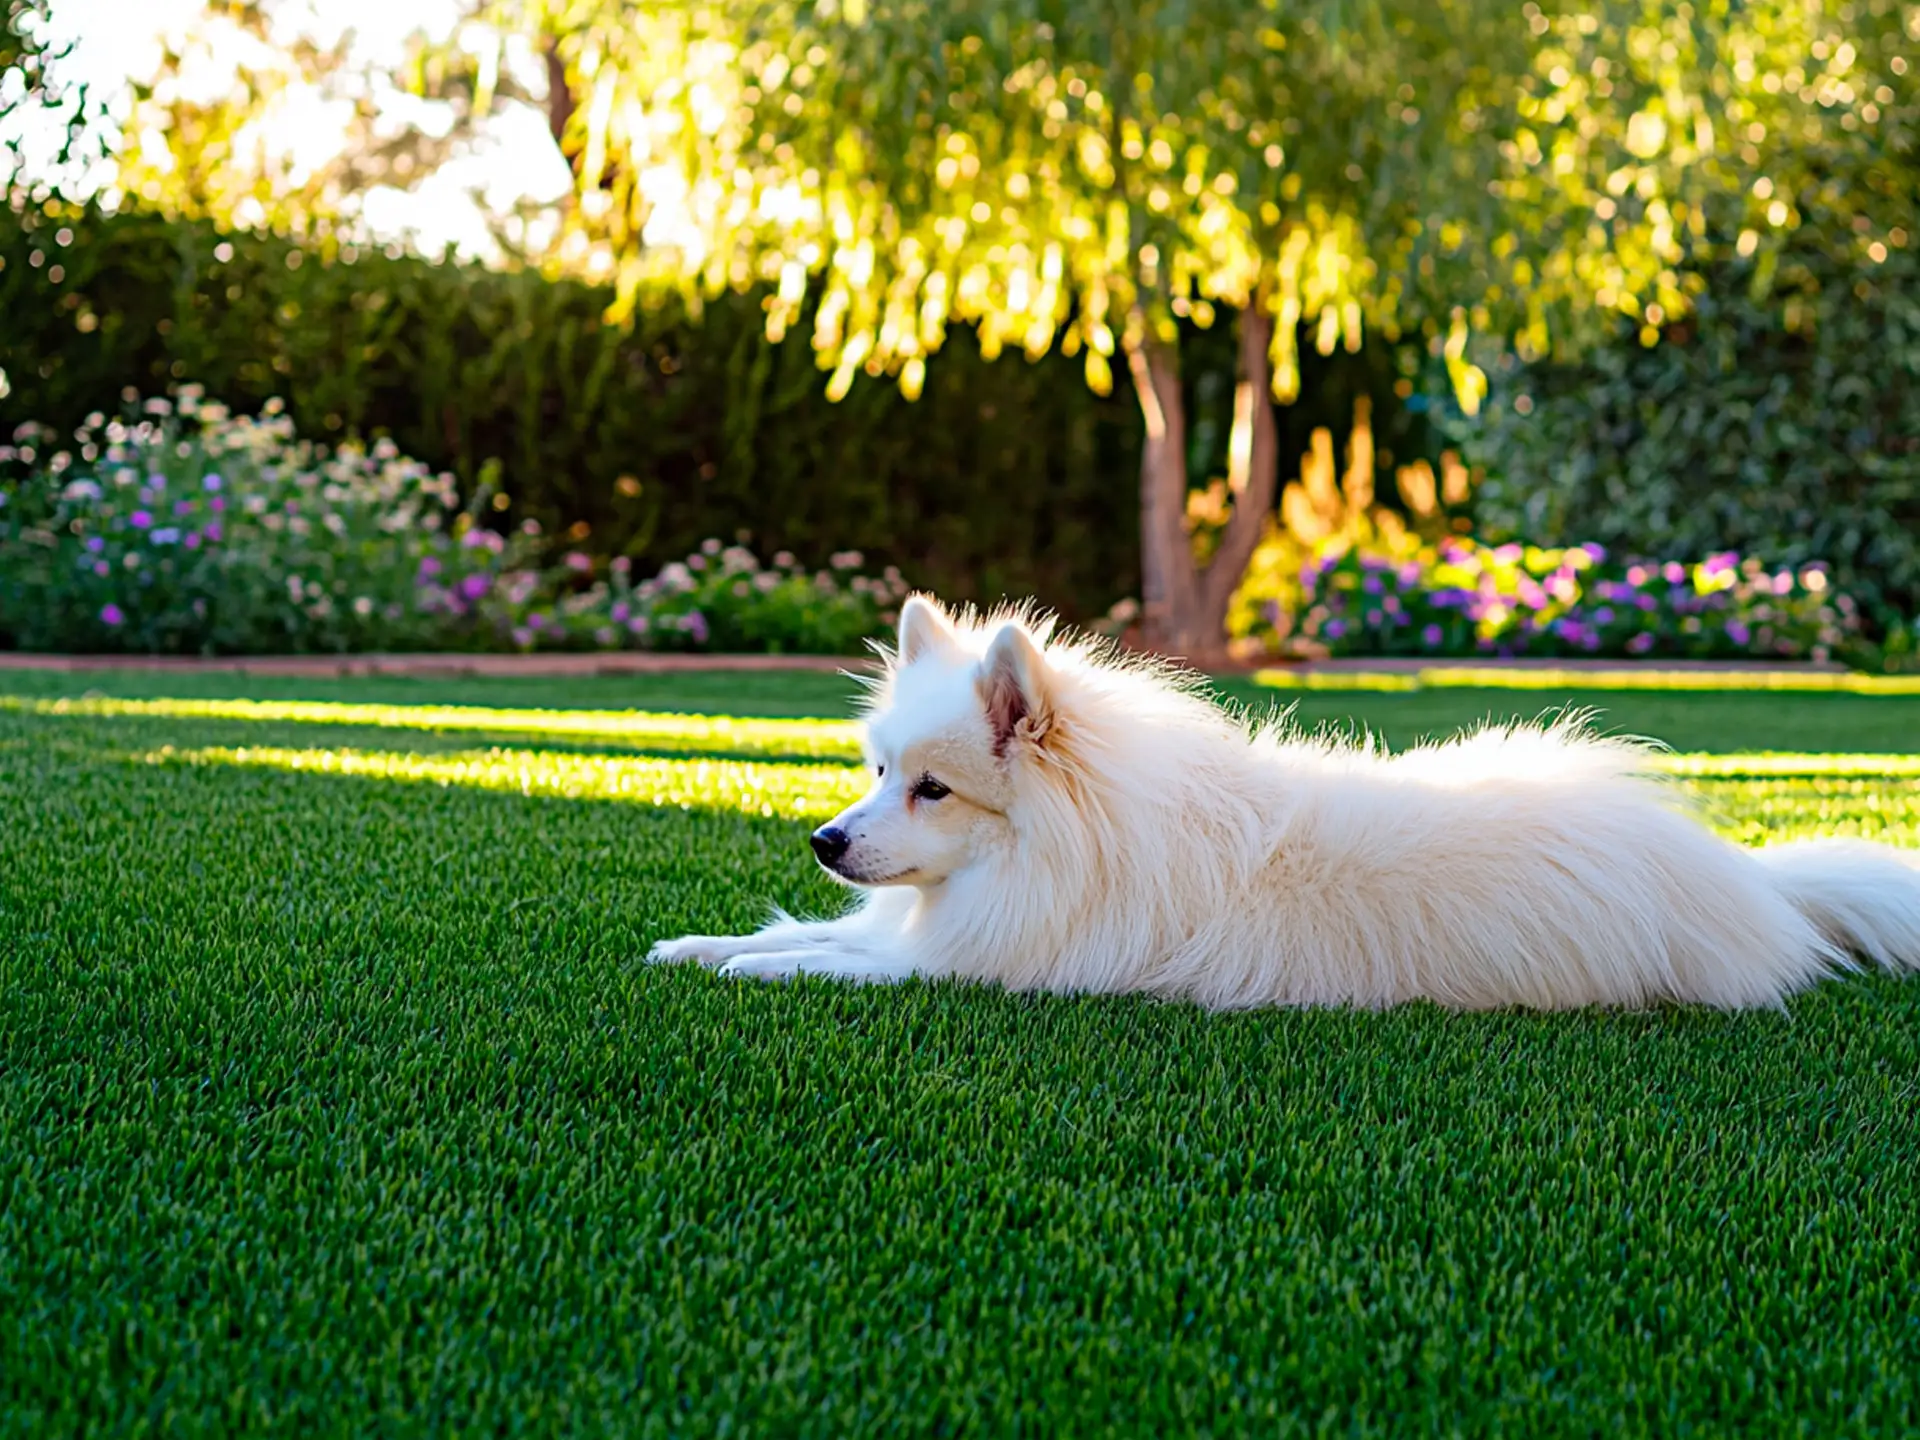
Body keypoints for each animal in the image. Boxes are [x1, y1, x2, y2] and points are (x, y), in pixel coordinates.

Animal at [648, 599, 1920, 1013]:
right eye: (873, 772)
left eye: (933, 788)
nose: (823, 840)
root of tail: (1747, 875)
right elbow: (821, 932)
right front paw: (697, 944)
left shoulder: (990, 963)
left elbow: (847, 962)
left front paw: (760, 966)